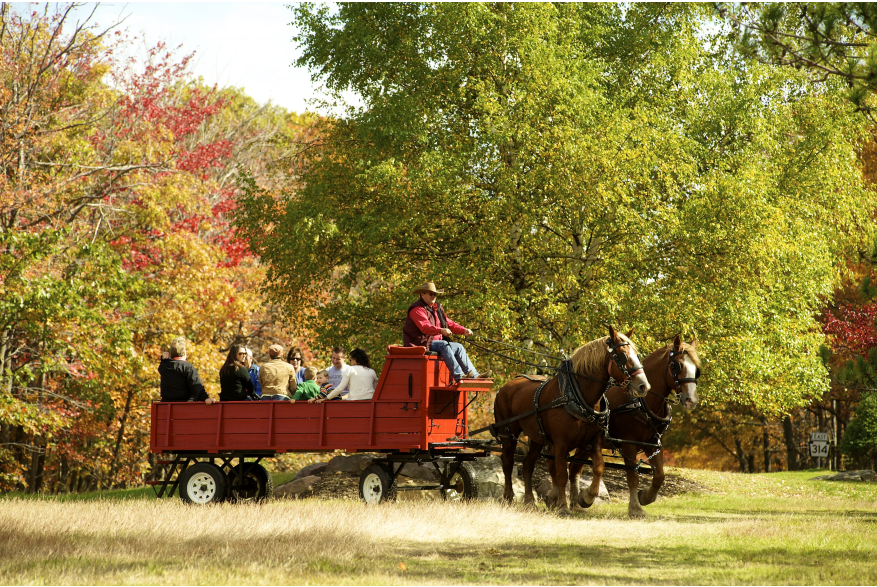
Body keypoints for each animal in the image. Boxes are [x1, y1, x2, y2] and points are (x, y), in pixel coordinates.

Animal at [492, 328, 652, 516]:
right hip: (508, 433)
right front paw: (563, 506)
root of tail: (506, 386)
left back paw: (530, 501)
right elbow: (562, 474)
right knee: (507, 462)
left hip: (537, 439)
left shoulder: (592, 442)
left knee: (527, 465)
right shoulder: (561, 443)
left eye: (637, 354)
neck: (576, 396)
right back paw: (508, 496)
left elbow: (598, 467)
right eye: (622, 356)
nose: (644, 386)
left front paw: (586, 498)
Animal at [556, 336, 704, 520]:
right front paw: (635, 509)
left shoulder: (653, 444)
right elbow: (633, 476)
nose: (691, 400)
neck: (642, 403)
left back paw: (577, 503)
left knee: (575, 468)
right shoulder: (628, 444)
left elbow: (659, 476)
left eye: (696, 370)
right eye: (678, 365)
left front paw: (645, 497)